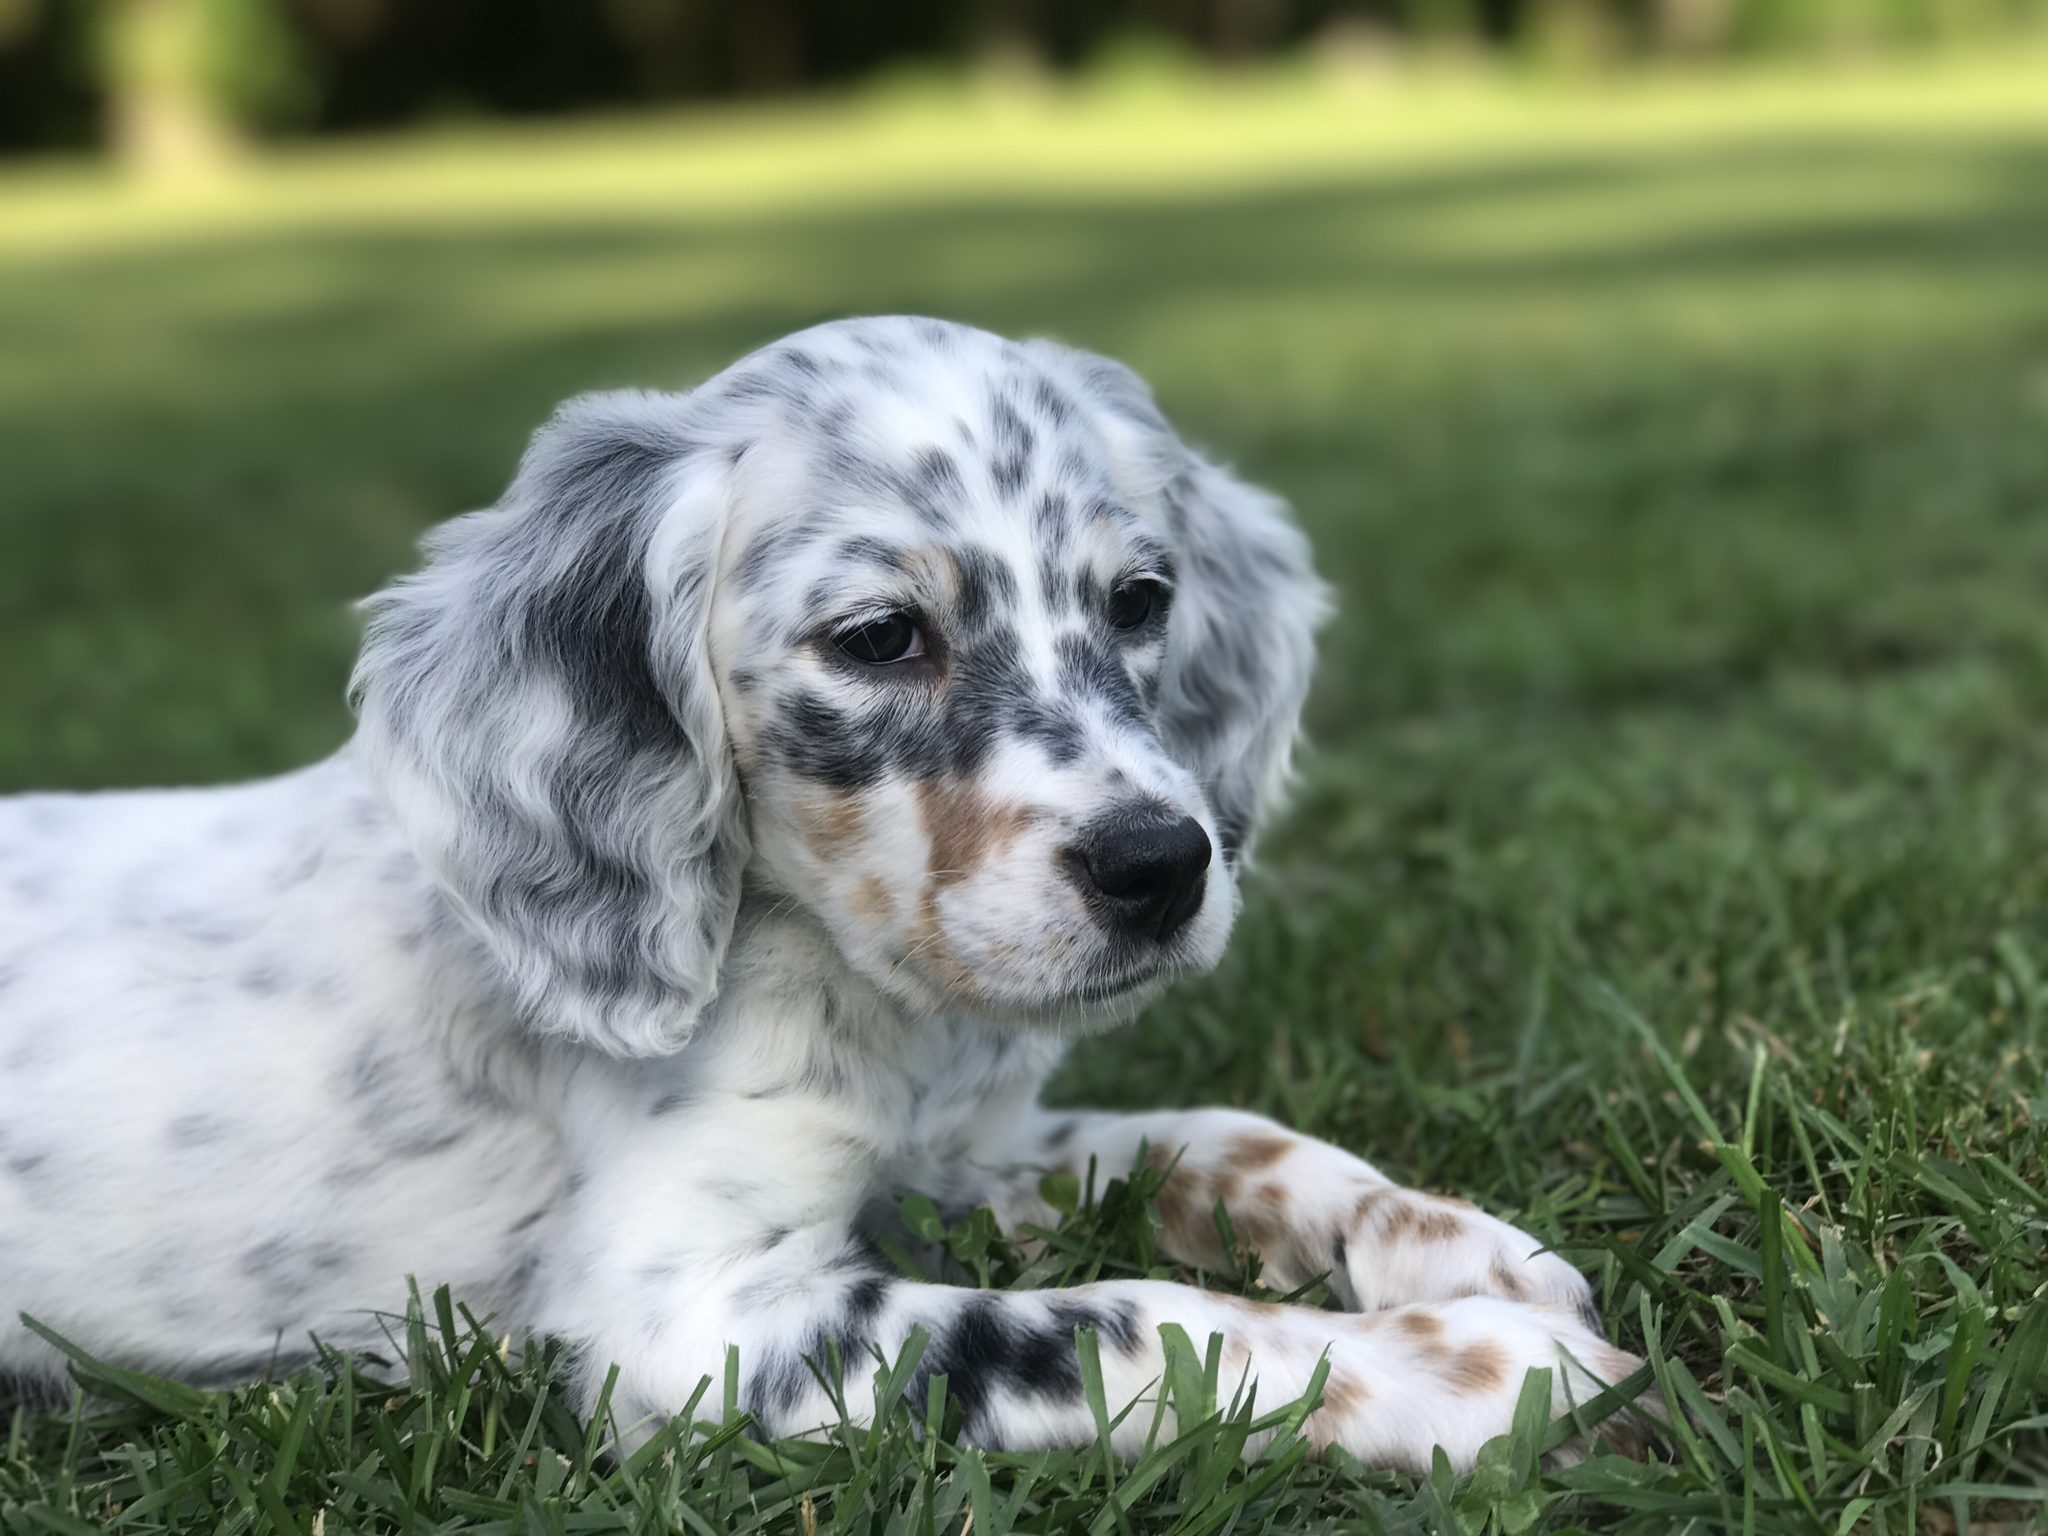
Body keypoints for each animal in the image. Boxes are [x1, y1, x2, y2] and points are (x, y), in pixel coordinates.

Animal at [0, 319, 1646, 1474]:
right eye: (876, 635)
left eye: (1140, 602)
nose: (1162, 867)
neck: (839, 978)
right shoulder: (684, 1319)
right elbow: (1126, 1326)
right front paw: (1472, 1370)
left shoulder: (958, 1152)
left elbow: (1214, 1135)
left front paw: (1454, 1245)